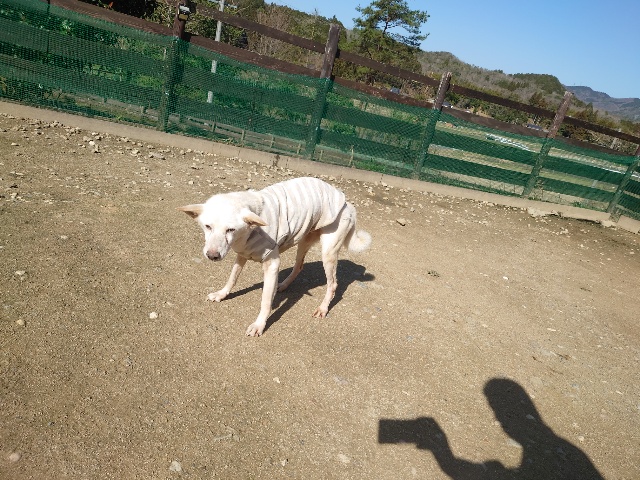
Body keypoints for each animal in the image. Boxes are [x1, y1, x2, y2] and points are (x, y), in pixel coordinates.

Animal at [179, 176, 371, 336]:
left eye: (230, 229)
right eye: (207, 226)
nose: (212, 256)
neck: (250, 230)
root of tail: (348, 204)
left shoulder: (272, 264)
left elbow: (265, 301)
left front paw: (259, 325)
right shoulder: (242, 254)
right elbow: (232, 278)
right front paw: (221, 294)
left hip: (328, 252)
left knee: (333, 284)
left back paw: (323, 308)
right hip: (304, 241)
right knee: (299, 266)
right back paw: (283, 285)